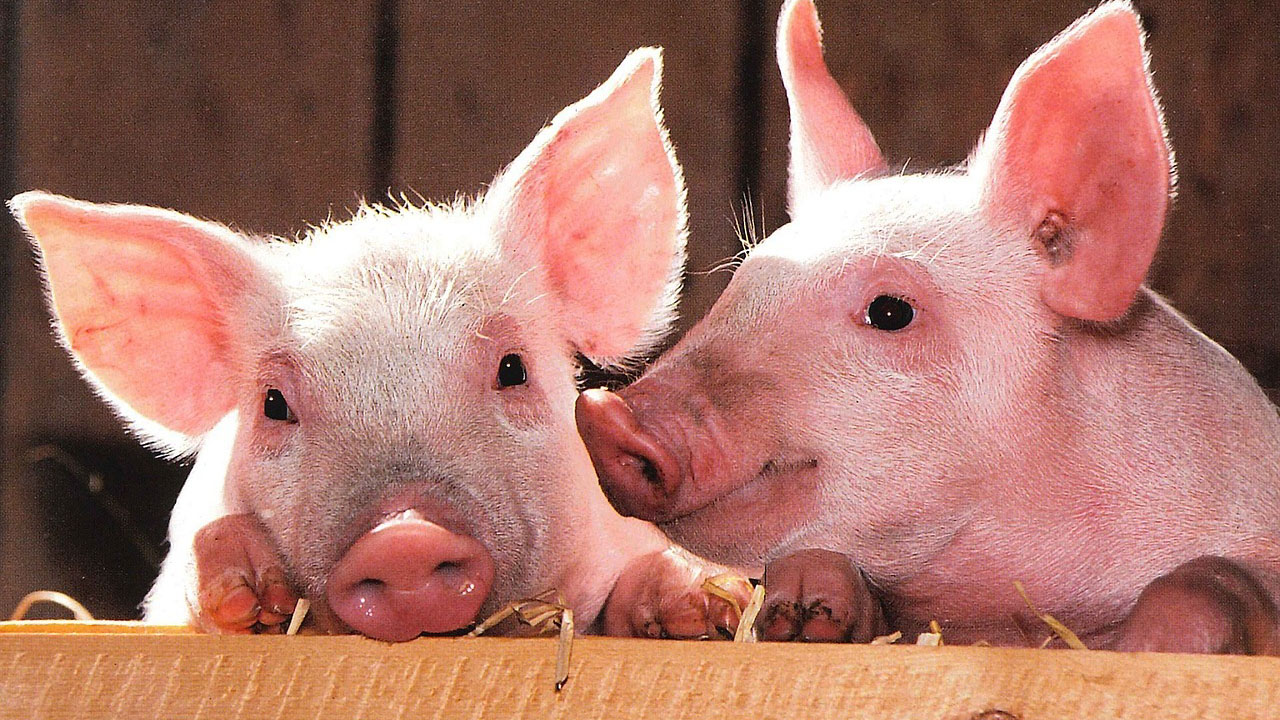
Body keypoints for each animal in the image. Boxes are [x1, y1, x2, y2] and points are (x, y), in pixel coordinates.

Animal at [576, 2, 1280, 654]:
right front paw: (798, 606)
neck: (1014, 612)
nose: (606, 414)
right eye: (745, 281)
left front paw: (1147, 648)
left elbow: (1213, 581)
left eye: (891, 311)